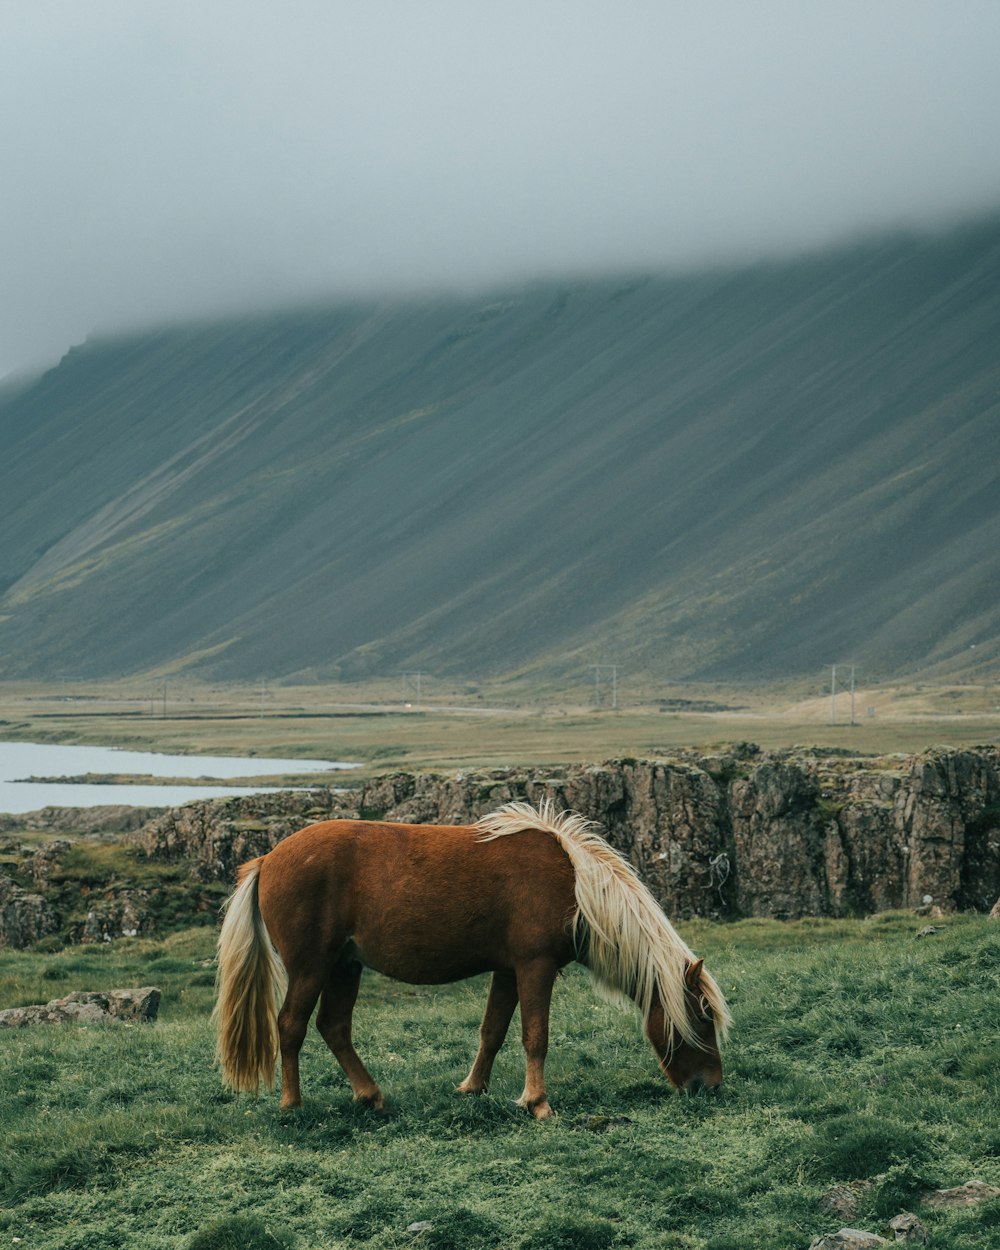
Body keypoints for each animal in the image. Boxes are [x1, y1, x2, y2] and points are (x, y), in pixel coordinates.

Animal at [215, 795, 730, 1120]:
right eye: (702, 1018)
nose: (712, 1086)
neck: (576, 888)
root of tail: (267, 859)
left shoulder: (507, 970)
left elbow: (493, 1033)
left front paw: (473, 1088)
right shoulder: (535, 967)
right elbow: (535, 1036)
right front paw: (538, 1104)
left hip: (345, 966)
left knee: (334, 1028)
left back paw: (372, 1097)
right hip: (312, 967)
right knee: (291, 1026)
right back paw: (292, 1104)